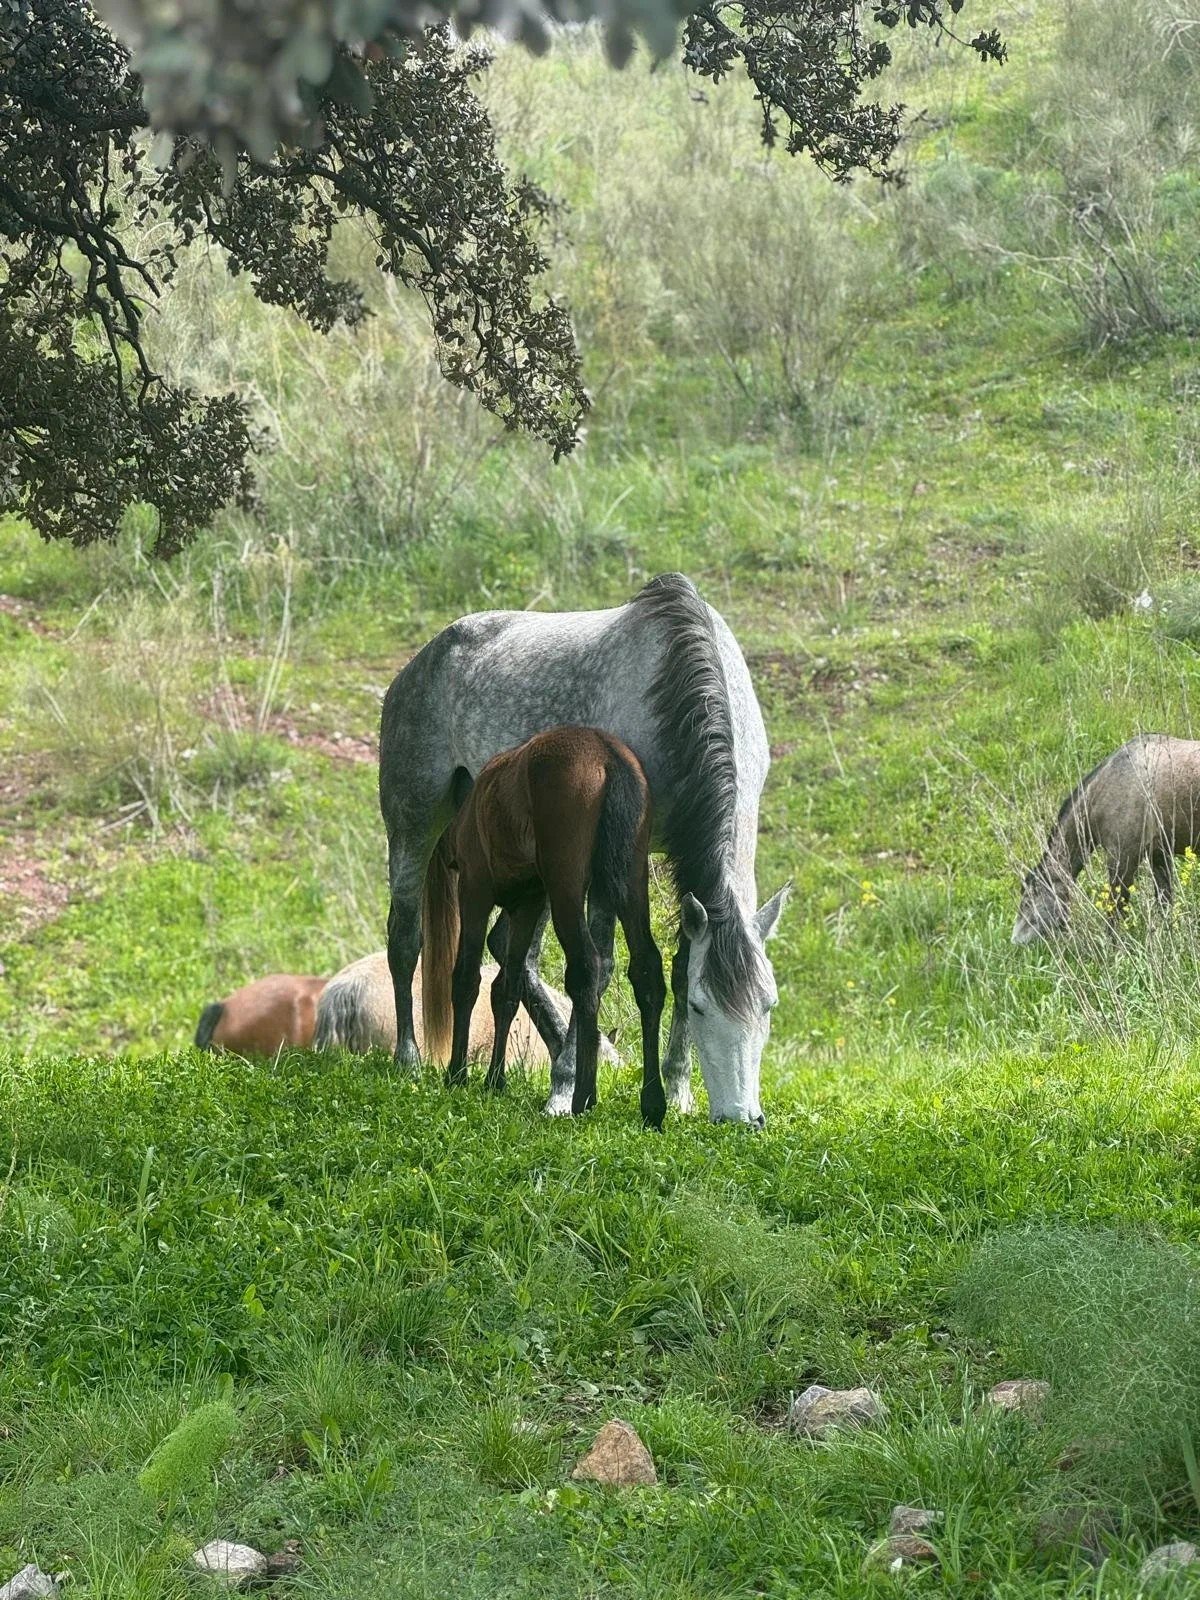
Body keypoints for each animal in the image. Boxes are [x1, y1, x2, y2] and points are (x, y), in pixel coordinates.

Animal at [421, 726, 667, 1126]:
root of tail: (607, 753)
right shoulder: (528, 904)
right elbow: (507, 989)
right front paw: (494, 1079)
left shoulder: (475, 891)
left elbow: (467, 979)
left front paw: (457, 1073)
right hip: (630, 880)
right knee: (646, 968)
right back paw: (652, 1102)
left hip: (566, 883)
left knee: (586, 967)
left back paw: (584, 1094)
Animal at [1013, 734, 1200, 944]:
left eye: (1028, 901)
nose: (1015, 941)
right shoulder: (1158, 855)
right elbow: (1164, 902)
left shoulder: (1123, 860)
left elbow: (1115, 911)